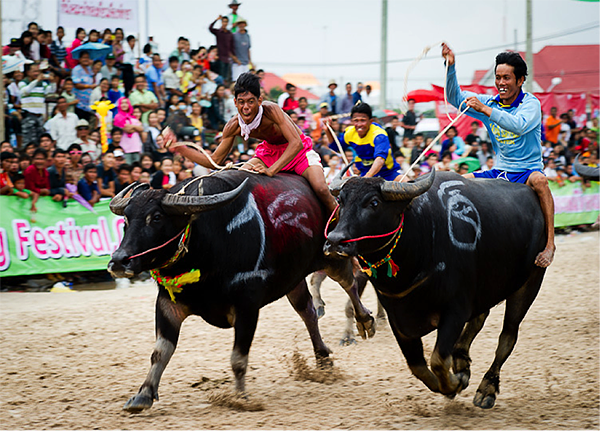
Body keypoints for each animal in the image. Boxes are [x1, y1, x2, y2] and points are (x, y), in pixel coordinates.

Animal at [105, 170, 372, 414]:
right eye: (126, 219)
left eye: (156, 217)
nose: (118, 261)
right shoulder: (168, 303)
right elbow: (160, 352)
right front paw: (143, 395)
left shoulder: (247, 307)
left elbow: (238, 358)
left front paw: (241, 398)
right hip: (293, 278)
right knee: (308, 311)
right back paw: (322, 357)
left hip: (333, 256)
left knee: (350, 284)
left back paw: (364, 321)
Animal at [326, 169, 548, 408]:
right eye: (340, 201)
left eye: (374, 202)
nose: (335, 240)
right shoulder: (398, 319)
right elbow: (418, 367)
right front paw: (453, 382)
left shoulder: (455, 310)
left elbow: (439, 360)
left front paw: (456, 383)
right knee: (479, 319)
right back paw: (461, 360)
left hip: (530, 283)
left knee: (507, 336)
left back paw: (487, 389)